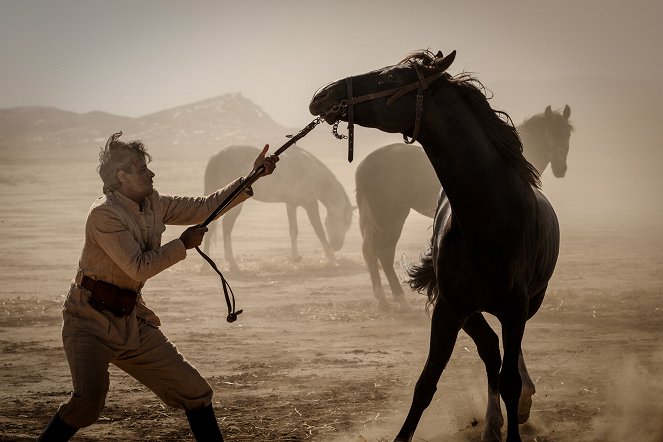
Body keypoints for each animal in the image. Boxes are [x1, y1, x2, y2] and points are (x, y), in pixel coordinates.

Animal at [202, 145, 356, 272]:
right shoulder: (310, 204)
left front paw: (295, 257)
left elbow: (293, 230)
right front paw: (332, 259)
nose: (337, 246)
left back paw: (206, 265)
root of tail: (218, 156)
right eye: (346, 222)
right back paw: (232, 264)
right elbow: (319, 231)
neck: (313, 173)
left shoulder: (291, 204)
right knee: (227, 227)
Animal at [312, 49, 560, 442]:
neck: (489, 216)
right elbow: (426, 383)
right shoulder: (448, 307)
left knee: (505, 357)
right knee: (490, 350)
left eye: (389, 79)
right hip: (463, 305)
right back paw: (491, 422)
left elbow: (510, 379)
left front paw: (518, 411)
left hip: (523, 306)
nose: (323, 95)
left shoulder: (515, 308)